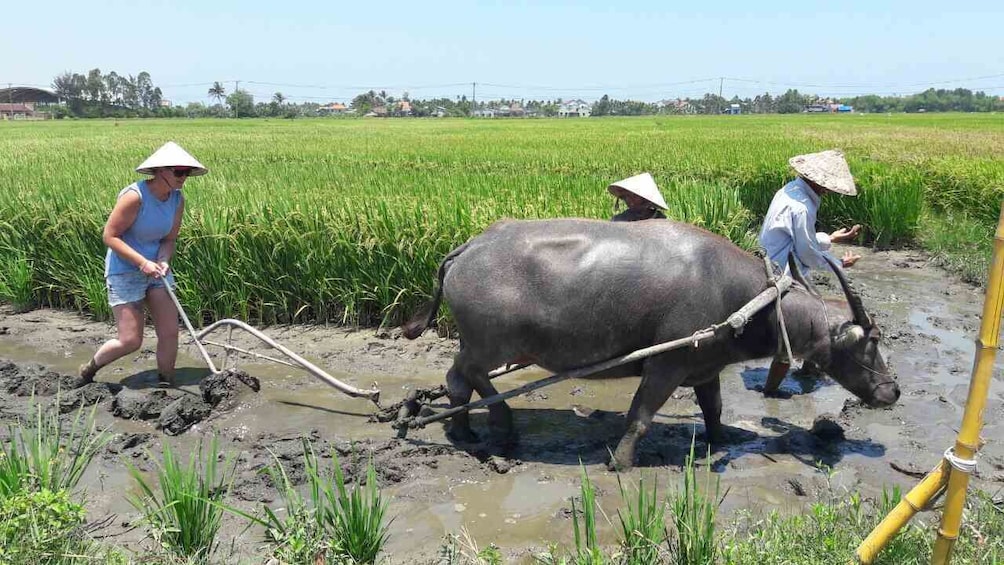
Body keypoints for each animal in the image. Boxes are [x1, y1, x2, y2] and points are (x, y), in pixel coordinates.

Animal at [401, 218, 903, 471]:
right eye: (872, 341)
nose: (893, 391)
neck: (748, 301)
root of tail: (467, 249)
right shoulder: (666, 366)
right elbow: (640, 417)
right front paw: (620, 463)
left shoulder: (705, 367)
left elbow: (714, 407)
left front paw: (721, 439)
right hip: (489, 344)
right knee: (466, 375)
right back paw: (499, 425)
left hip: (480, 343)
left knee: (459, 379)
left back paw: (468, 430)